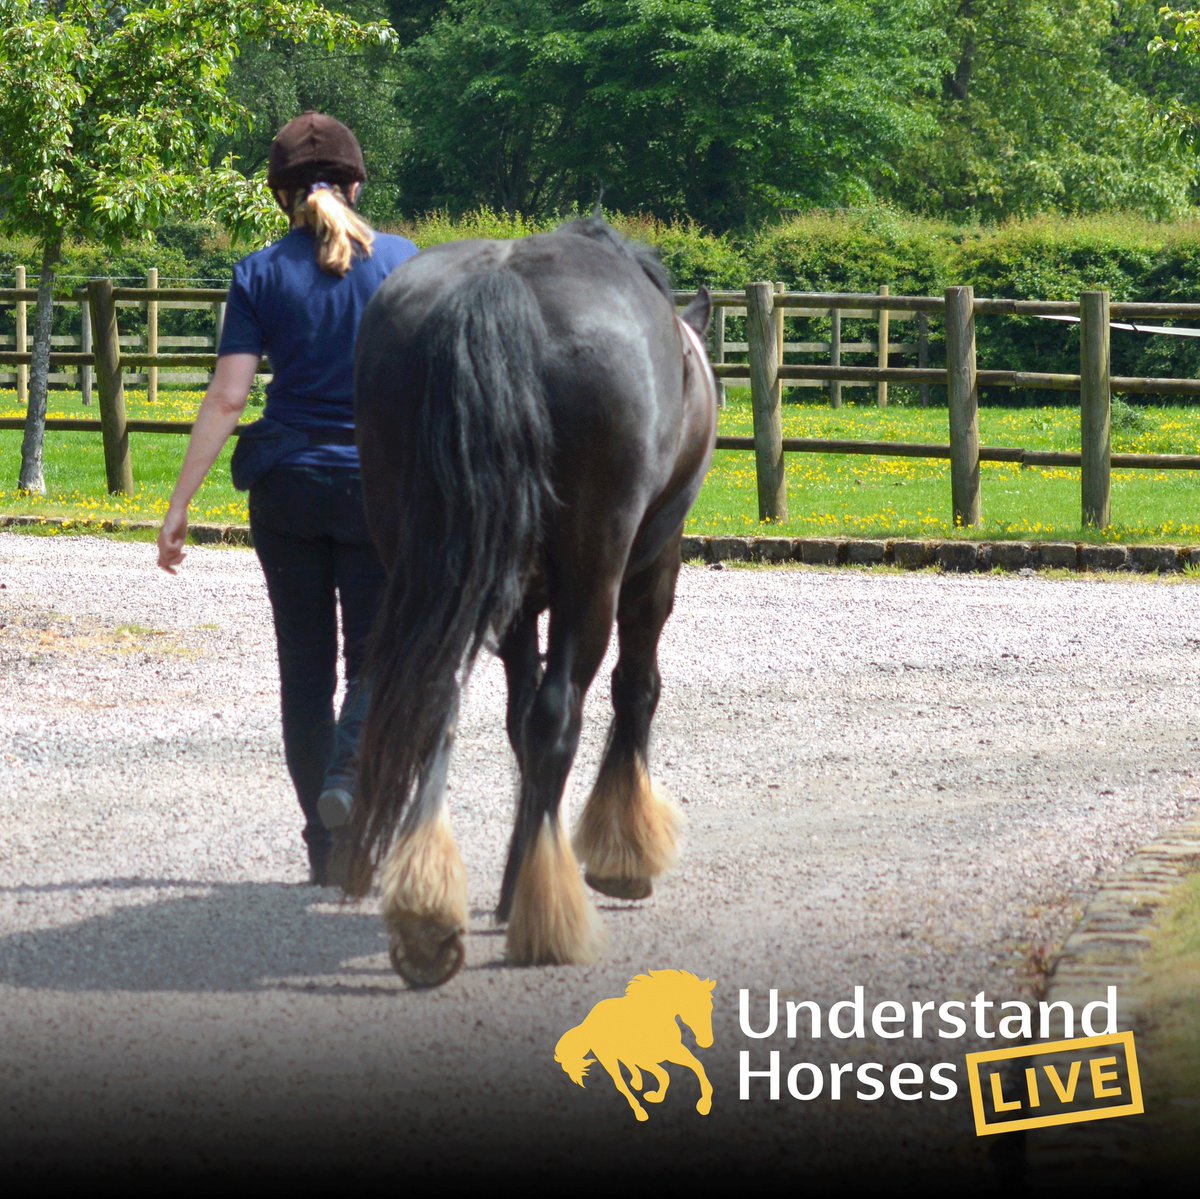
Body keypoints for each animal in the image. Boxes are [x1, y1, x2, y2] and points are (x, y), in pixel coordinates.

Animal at [345, 216, 717, 986]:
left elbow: (515, 722)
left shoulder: (516, 602)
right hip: (595, 572)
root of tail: (499, 284)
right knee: (560, 714)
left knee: (434, 700)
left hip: (424, 557)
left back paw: (429, 911)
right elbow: (634, 689)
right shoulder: (651, 567)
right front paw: (622, 850)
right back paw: (549, 917)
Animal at [554, 969, 716, 1122]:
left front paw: (704, 1105)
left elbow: (697, 1066)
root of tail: (587, 1023)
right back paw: (640, 1111)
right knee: (620, 1083)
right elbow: (665, 1075)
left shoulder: (673, 1051)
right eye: (694, 1007)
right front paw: (655, 1097)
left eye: (710, 1008)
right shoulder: (646, 1059)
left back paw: (637, 1081)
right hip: (608, 1058)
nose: (706, 1042)